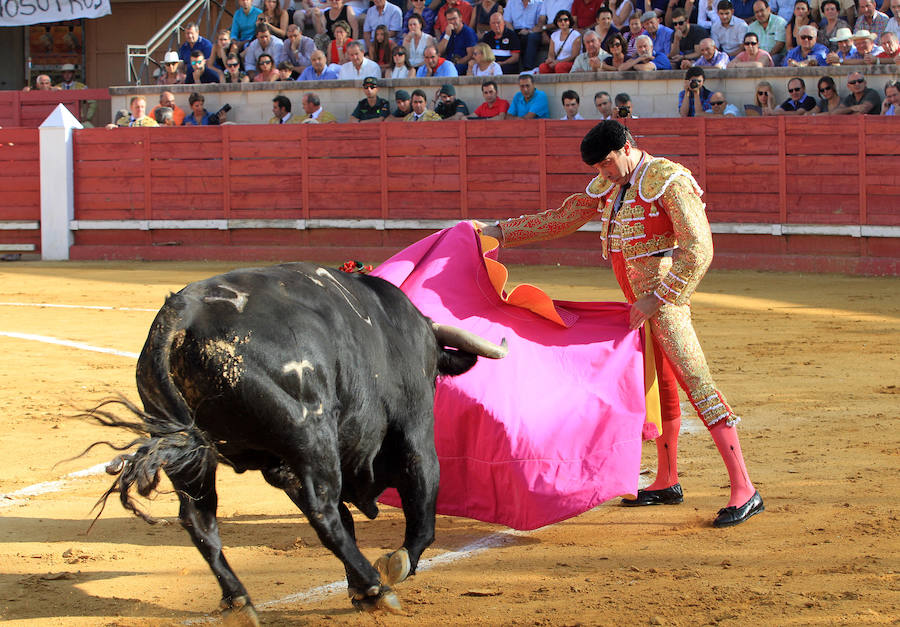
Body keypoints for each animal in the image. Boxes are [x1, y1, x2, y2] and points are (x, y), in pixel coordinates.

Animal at [88, 262, 510, 624]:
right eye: (433, 373)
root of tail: (181, 316)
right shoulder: (416, 433)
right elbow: (421, 511)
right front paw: (391, 568)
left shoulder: (284, 468)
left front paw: (359, 586)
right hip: (312, 437)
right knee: (324, 513)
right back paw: (377, 590)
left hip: (197, 457)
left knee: (201, 520)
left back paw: (241, 602)